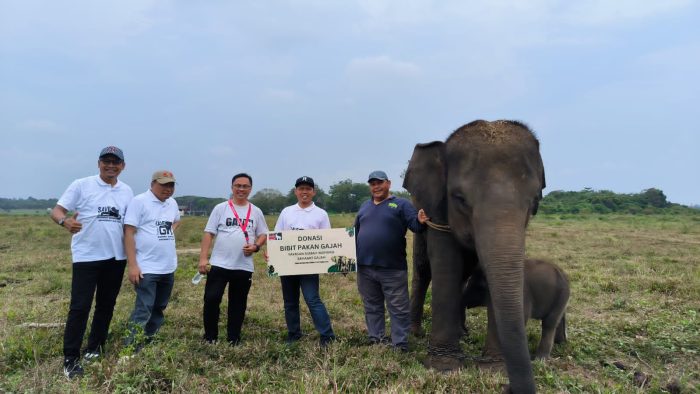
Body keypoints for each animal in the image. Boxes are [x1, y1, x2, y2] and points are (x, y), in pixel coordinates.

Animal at [404, 120, 548, 394]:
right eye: (459, 198)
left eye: (535, 199)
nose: (508, 388)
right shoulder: (438, 211)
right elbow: (446, 266)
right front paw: (444, 367)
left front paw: (494, 369)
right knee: (423, 270)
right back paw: (414, 332)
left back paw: (463, 332)